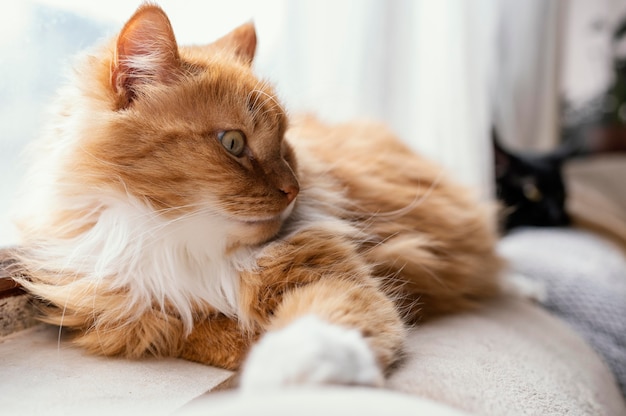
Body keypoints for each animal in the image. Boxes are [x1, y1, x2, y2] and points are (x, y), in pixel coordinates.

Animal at [12, 3, 502, 388]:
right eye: (232, 143)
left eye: (285, 144)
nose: (293, 190)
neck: (182, 246)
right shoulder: (141, 312)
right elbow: (209, 332)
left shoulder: (329, 272)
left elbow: (317, 324)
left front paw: (285, 370)